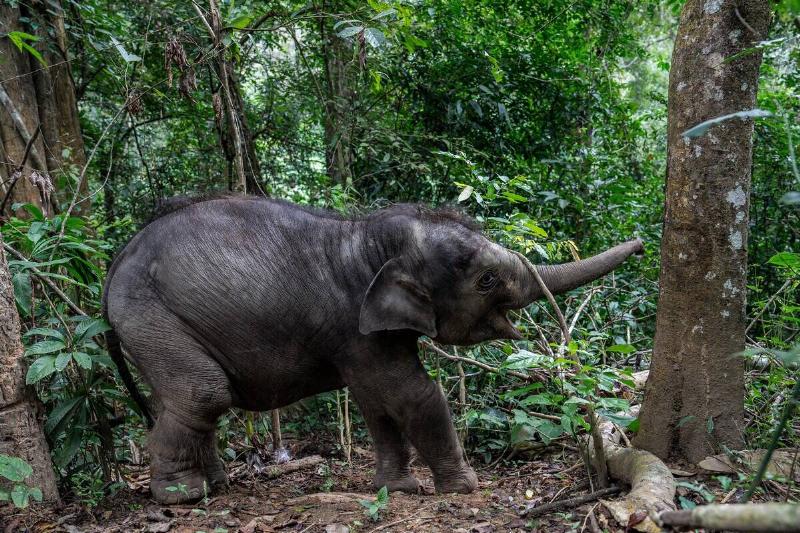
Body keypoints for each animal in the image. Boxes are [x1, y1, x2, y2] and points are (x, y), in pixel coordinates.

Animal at [102, 196, 643, 504]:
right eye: (487, 280)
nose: (641, 243)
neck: (366, 235)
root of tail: (114, 268)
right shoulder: (354, 326)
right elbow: (411, 394)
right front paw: (463, 488)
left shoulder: (358, 337)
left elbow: (374, 404)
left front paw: (396, 489)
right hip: (151, 317)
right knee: (204, 393)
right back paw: (180, 497)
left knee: (190, 402)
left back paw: (217, 486)